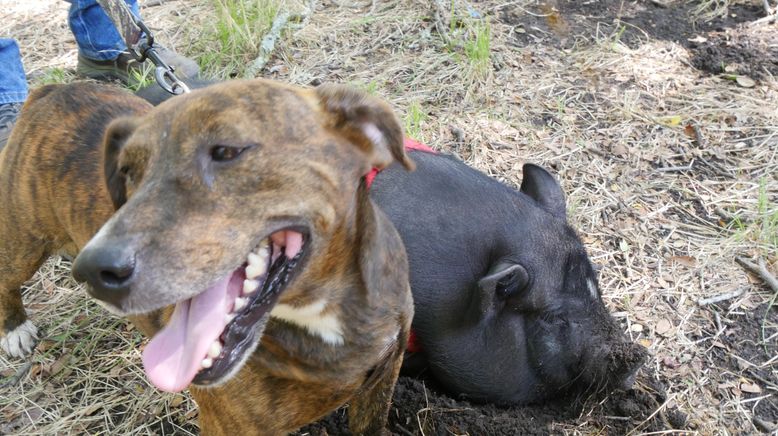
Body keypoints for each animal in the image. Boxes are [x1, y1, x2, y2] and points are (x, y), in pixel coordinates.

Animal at [0, 80, 416, 434]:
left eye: (227, 151)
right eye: (127, 171)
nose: (92, 269)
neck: (323, 312)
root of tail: (53, 89)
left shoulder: (383, 376)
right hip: (23, 241)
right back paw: (14, 327)